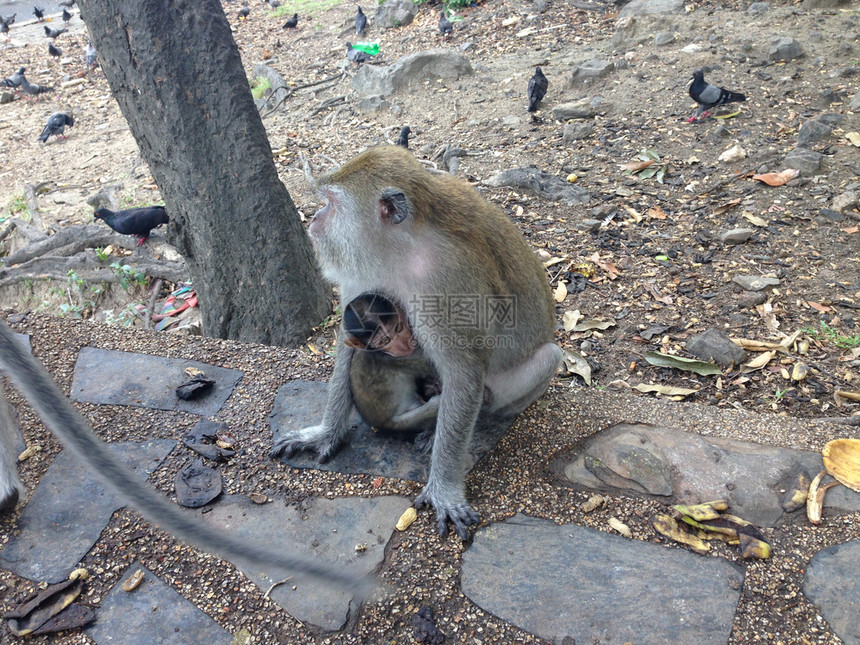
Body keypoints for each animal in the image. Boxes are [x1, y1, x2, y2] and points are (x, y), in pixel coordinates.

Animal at [272, 147, 560, 540]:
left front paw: (444, 489)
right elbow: (349, 342)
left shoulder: (443, 283)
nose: (314, 218)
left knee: (541, 361)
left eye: (330, 201)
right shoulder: (364, 270)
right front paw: (326, 433)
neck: (400, 247)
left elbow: (465, 371)